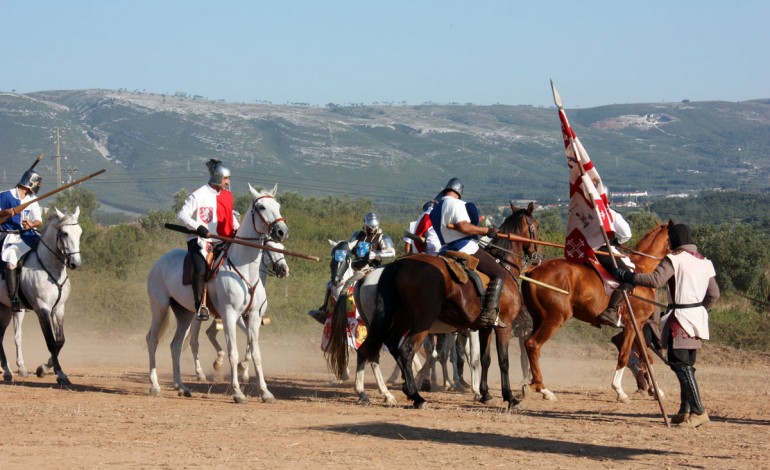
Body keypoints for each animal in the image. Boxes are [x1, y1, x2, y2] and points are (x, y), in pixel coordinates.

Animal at [0, 207, 82, 384]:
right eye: (64, 233)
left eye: (79, 232)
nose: (75, 263)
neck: (51, 269)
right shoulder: (42, 309)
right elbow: (51, 342)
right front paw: (56, 373)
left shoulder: (58, 309)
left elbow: (60, 341)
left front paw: (47, 367)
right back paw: (8, 371)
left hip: (5, 309)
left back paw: (8, 371)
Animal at [188, 239, 288, 386]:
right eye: (269, 248)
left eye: (282, 247)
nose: (284, 270)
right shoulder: (238, 318)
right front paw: (242, 367)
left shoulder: (251, 319)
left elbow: (250, 341)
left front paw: (243, 371)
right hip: (197, 318)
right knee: (194, 342)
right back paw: (200, 373)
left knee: (210, 333)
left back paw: (218, 362)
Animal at [336, 204, 540, 410]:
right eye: (536, 226)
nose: (537, 257)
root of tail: (394, 266)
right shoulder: (501, 326)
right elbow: (498, 360)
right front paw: (508, 397)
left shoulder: (484, 327)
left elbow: (484, 359)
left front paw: (484, 393)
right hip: (419, 324)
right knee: (402, 351)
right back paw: (413, 396)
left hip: (390, 323)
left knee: (373, 350)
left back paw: (370, 392)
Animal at [520, 220, 668, 400]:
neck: (642, 272)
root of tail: (532, 270)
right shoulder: (632, 326)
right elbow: (624, 355)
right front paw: (619, 390)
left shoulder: (638, 326)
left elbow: (648, 357)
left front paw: (657, 391)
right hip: (555, 318)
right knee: (533, 345)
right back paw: (544, 389)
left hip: (538, 319)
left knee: (530, 347)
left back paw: (534, 384)